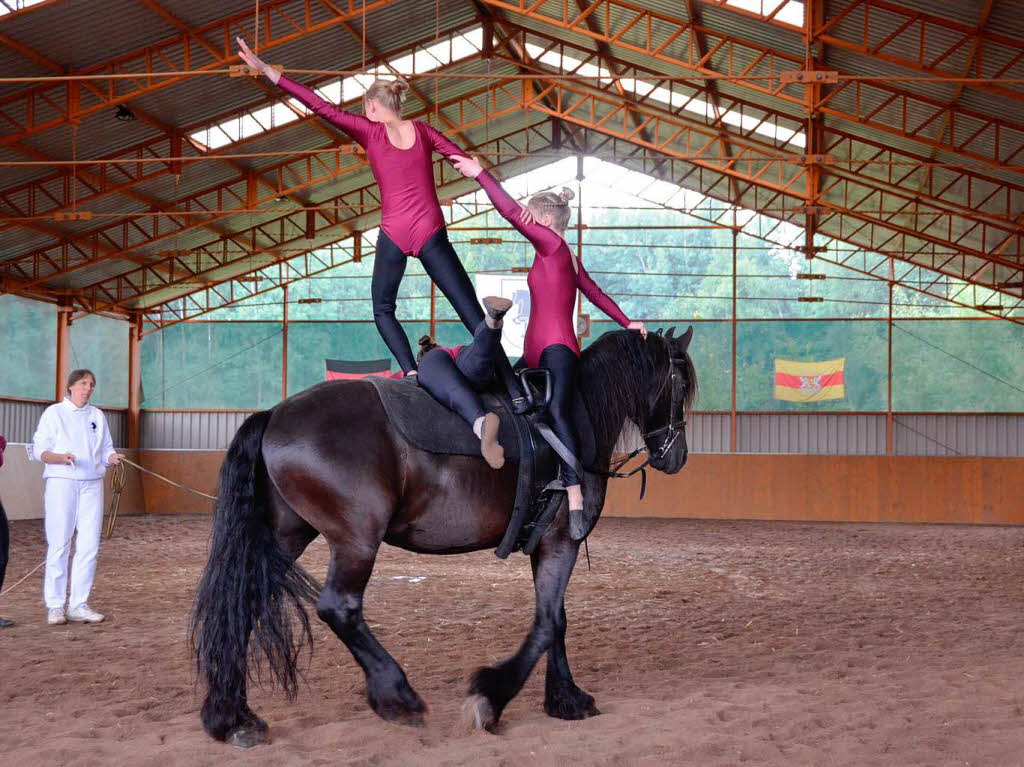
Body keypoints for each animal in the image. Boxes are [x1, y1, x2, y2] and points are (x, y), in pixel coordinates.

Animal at [192, 325, 696, 745]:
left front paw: (566, 699)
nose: (677, 457)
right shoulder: (561, 541)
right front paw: (490, 698)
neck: (572, 415)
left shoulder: (546, 545)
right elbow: (549, 621)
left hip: (288, 534)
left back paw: (233, 718)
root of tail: (275, 414)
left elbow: (556, 619)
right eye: (679, 386)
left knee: (244, 604)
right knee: (340, 608)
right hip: (355, 540)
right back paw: (397, 696)